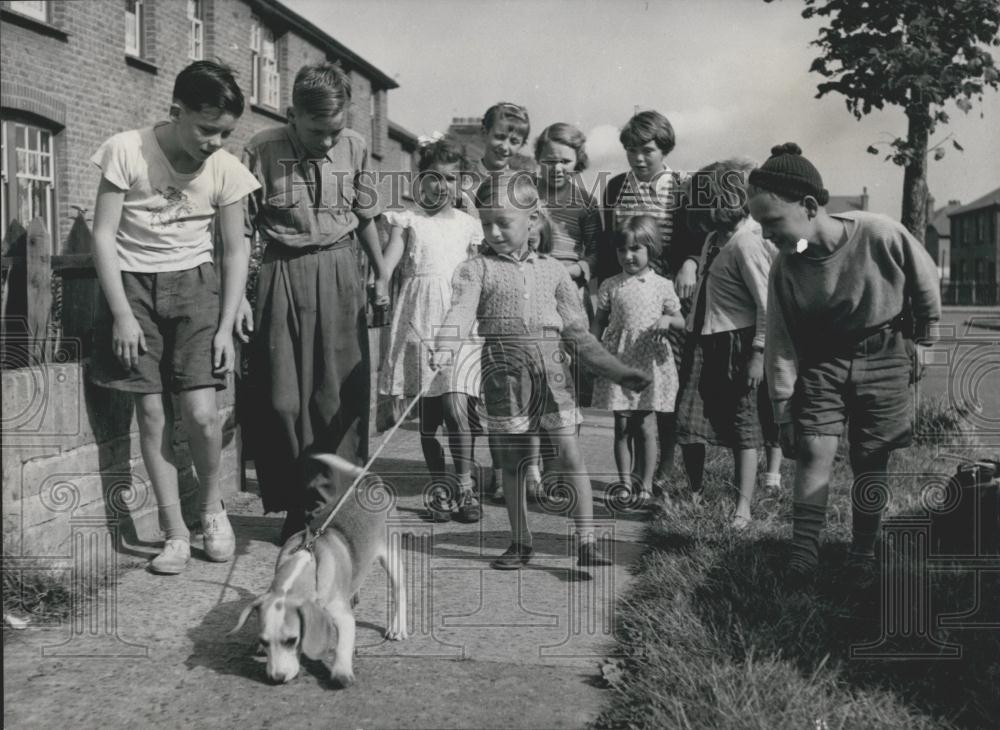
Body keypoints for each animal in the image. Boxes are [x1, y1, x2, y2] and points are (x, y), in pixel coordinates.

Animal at [229, 452, 406, 684]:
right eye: (265, 641)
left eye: (292, 640)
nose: (276, 678)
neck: (308, 562)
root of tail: (369, 485)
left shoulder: (343, 617)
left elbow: (343, 644)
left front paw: (341, 672)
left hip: (392, 557)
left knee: (400, 591)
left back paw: (398, 628)